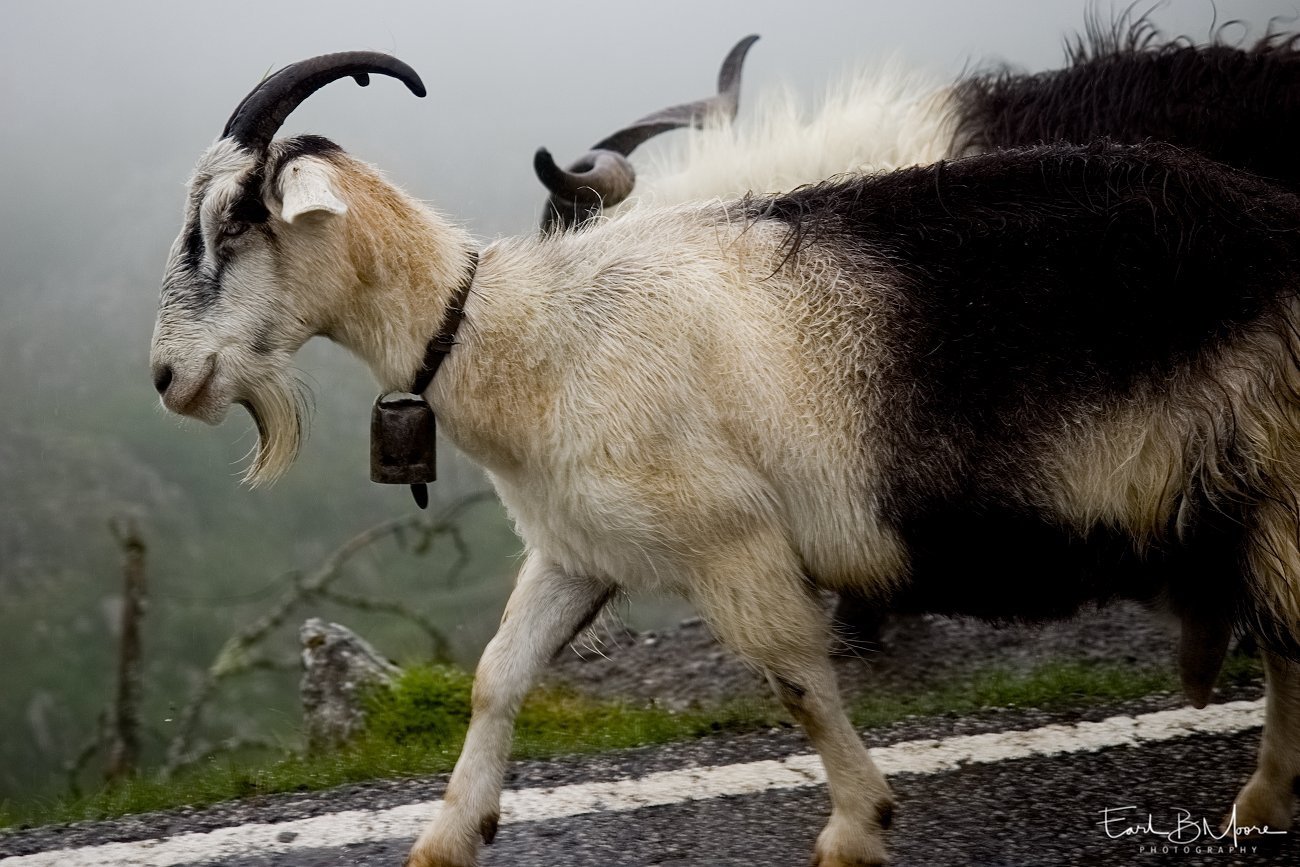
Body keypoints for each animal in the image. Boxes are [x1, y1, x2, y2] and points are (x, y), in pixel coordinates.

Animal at [150, 53, 1300, 867]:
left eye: (232, 220)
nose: (167, 379)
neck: (526, 331)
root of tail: (1271, 222)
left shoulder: (732, 540)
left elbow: (795, 680)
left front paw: (857, 827)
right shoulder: (576, 551)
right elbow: (496, 677)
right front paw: (446, 837)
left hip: (1272, 476)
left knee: (1286, 637)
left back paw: (1259, 800)